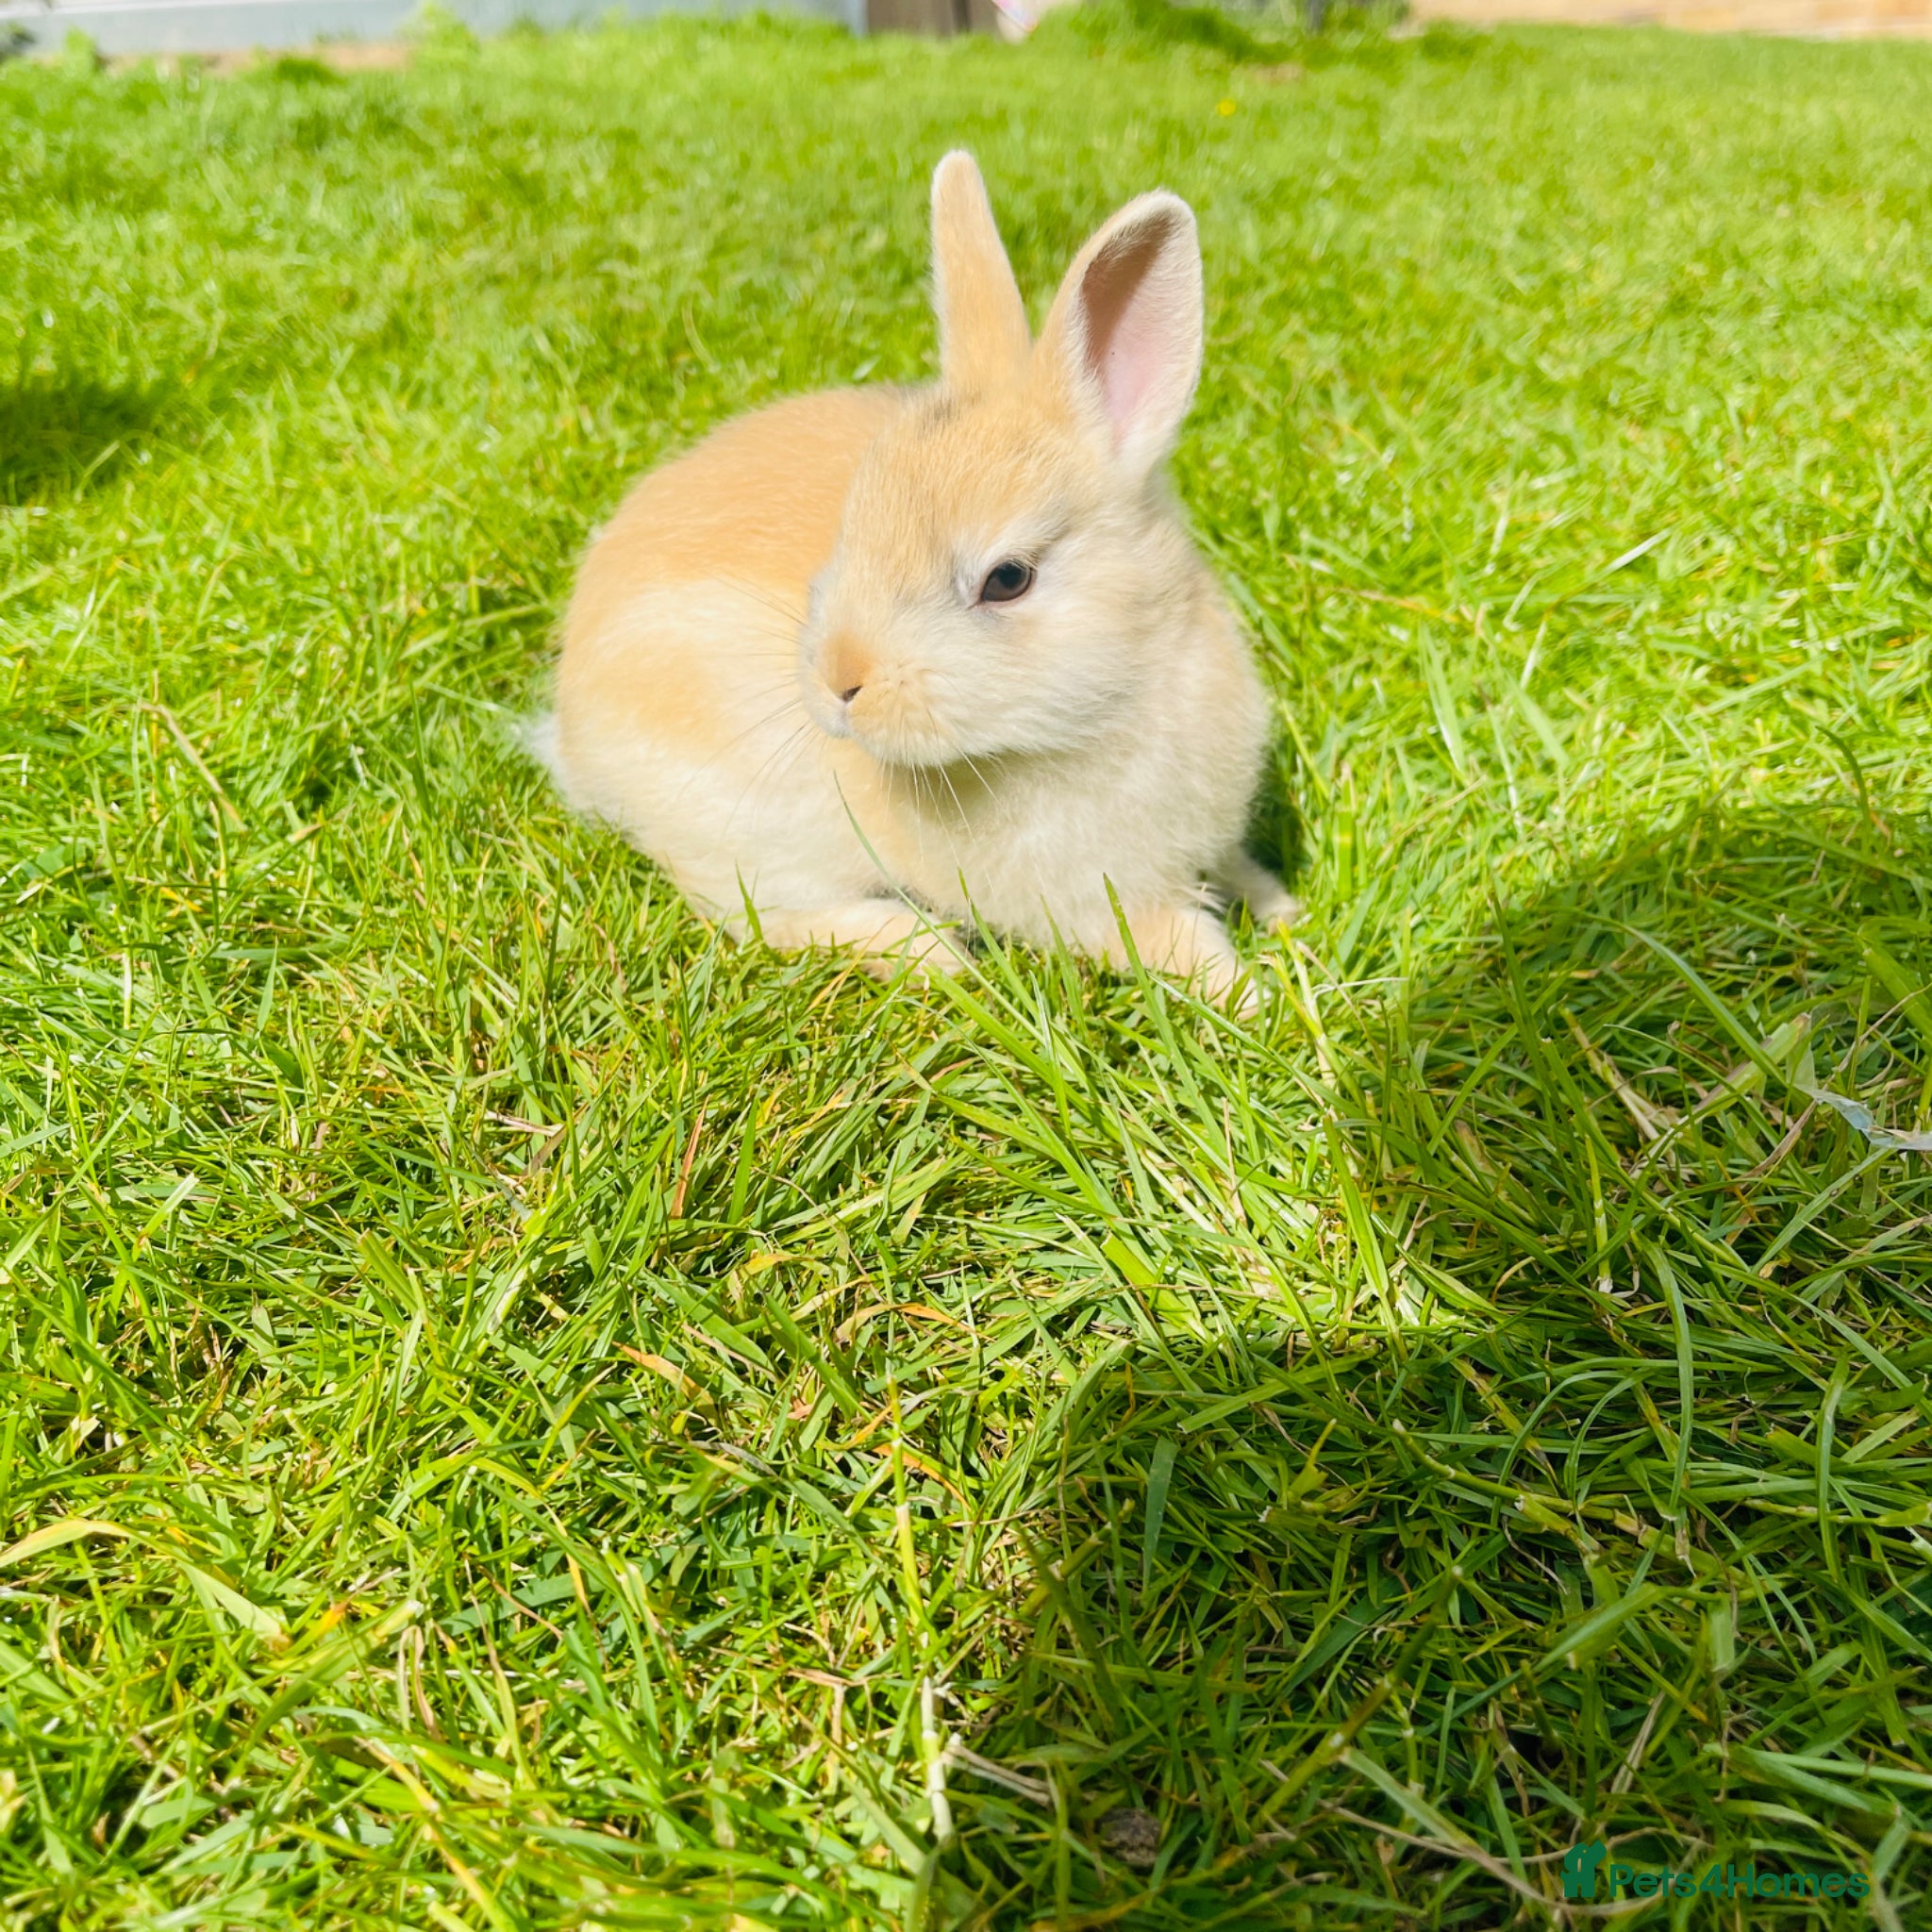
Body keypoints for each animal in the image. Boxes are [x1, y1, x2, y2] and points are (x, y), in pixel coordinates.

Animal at [536, 151, 1297, 1008]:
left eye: (1007, 579)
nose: (840, 683)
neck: (1112, 703)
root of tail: (569, 732)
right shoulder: (1100, 904)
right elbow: (1179, 943)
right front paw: (1263, 1002)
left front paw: (1283, 912)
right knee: (758, 917)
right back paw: (929, 952)